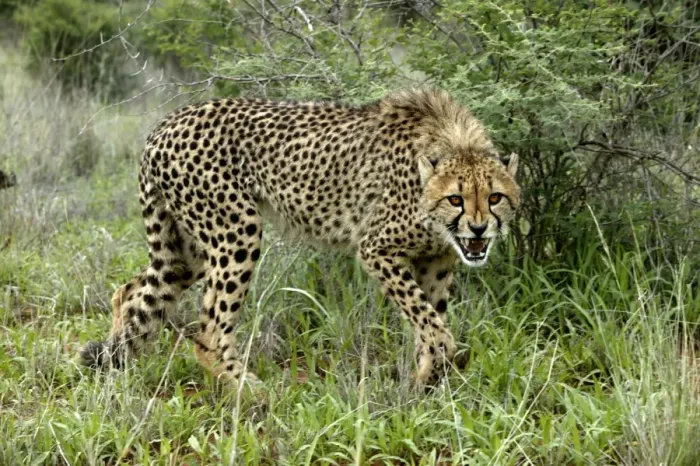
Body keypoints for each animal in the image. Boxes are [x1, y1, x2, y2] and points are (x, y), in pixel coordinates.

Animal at [79, 87, 520, 388]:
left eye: (495, 197)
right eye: (456, 199)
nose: (478, 229)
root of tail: (166, 123)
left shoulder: (436, 260)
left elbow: (430, 322)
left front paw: (427, 381)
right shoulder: (376, 249)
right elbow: (432, 323)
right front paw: (435, 369)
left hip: (188, 252)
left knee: (131, 292)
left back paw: (120, 360)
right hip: (236, 232)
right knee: (208, 332)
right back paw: (252, 392)